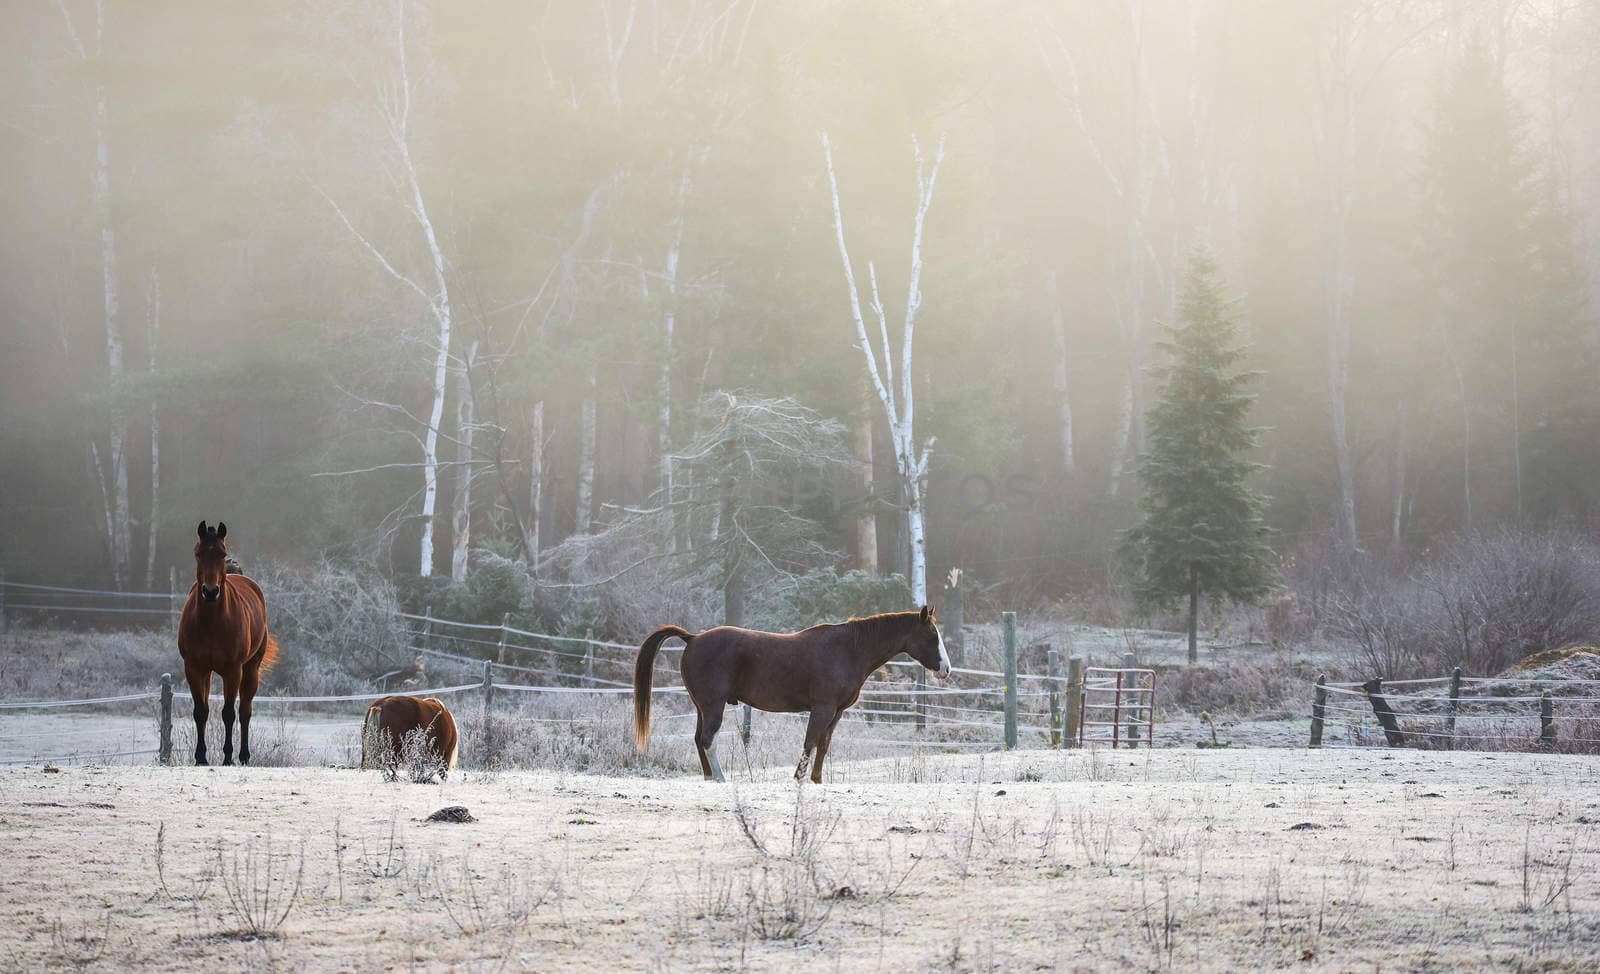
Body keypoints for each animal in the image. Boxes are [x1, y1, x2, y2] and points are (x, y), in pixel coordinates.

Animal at [176, 521, 276, 764]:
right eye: (198, 553)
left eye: (221, 553)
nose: (211, 591)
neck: (212, 623)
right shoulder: (194, 669)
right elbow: (200, 712)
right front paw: (200, 757)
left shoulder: (233, 670)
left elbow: (229, 713)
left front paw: (228, 757)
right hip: (208, 673)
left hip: (250, 670)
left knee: (245, 711)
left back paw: (244, 755)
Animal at [630, 607, 940, 783]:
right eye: (932, 636)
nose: (945, 669)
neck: (847, 649)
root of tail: (692, 638)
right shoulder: (823, 709)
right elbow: (810, 742)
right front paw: (799, 778)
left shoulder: (836, 713)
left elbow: (823, 745)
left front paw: (816, 780)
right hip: (713, 707)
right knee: (708, 740)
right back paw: (720, 778)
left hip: (701, 707)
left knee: (699, 740)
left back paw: (709, 777)